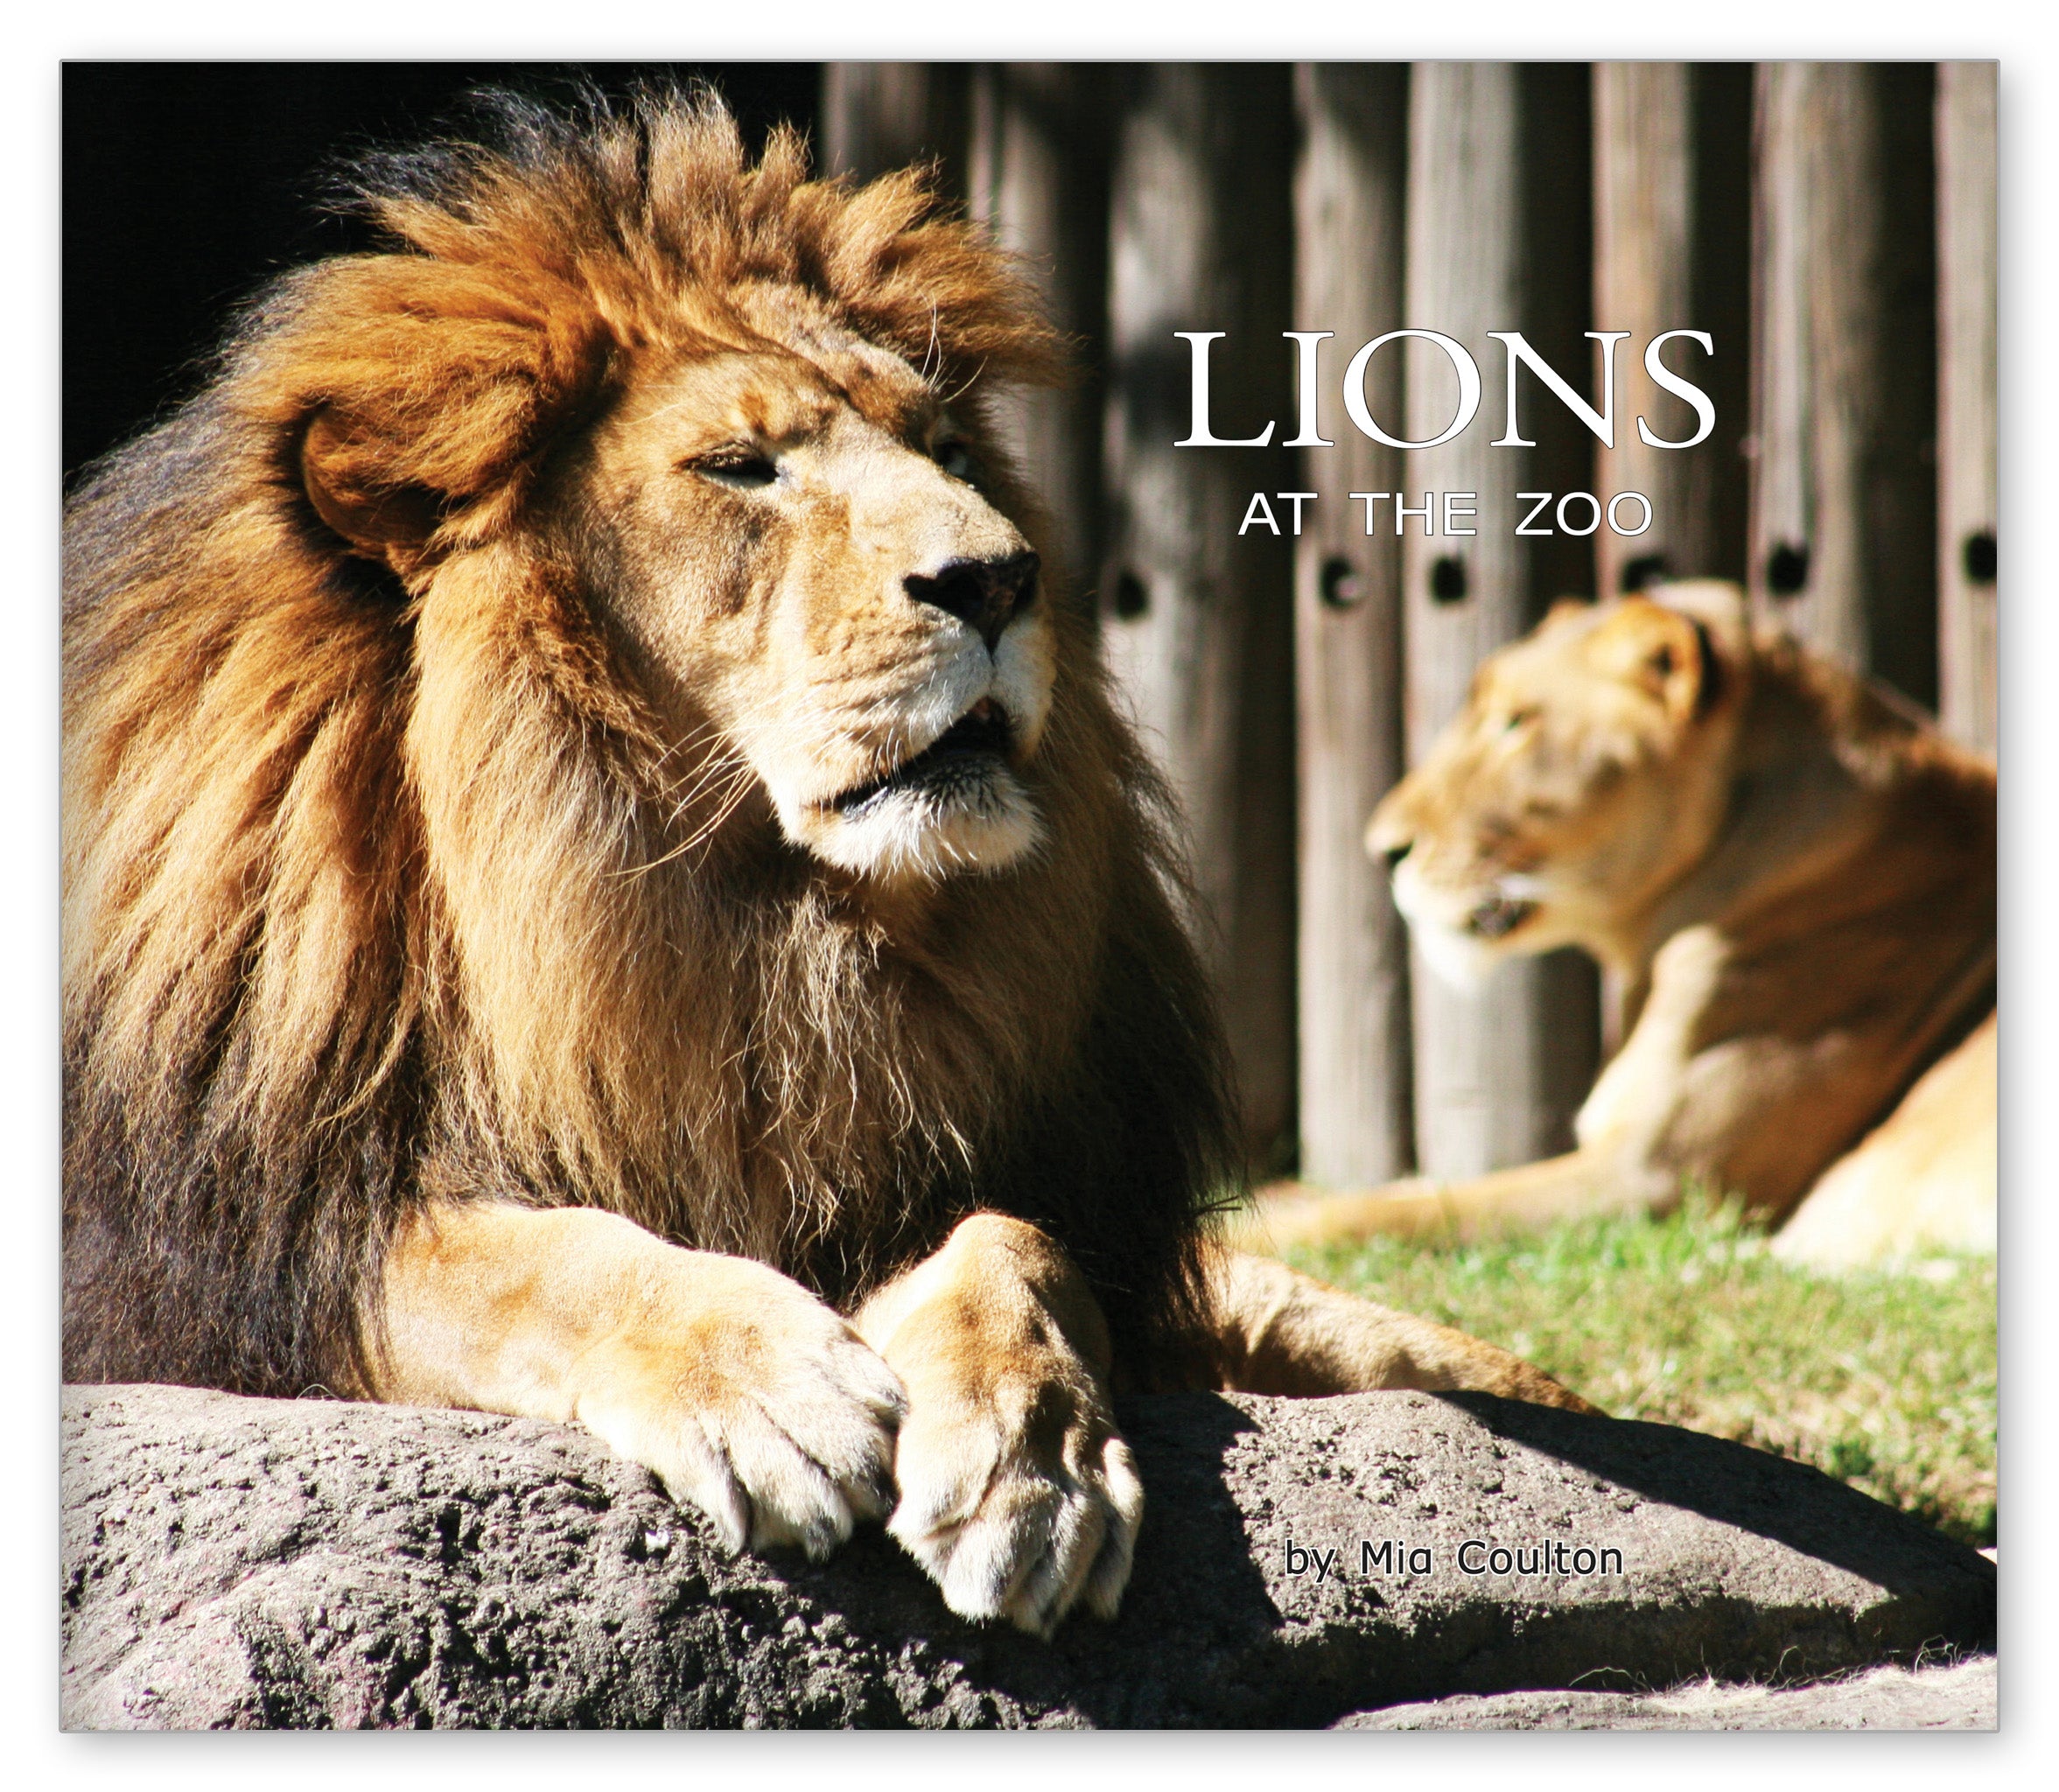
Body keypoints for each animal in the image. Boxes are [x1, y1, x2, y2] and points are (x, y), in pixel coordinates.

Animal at [62, 91, 1585, 1641]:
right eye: (742, 467)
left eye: (951, 455)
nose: (1001, 578)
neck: (725, 928)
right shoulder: (247, 1257)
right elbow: (523, 1259)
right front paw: (763, 1383)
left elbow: (1012, 1241)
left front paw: (1029, 1459)